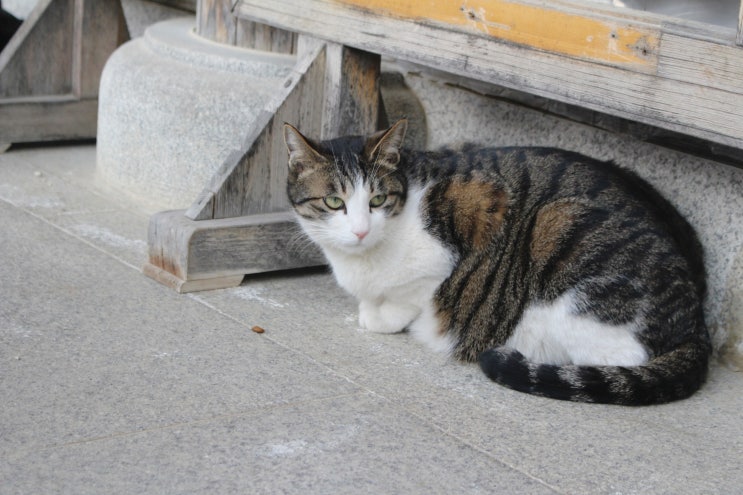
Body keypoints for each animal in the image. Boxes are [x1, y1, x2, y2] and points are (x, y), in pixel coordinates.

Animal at [284, 120, 708, 406]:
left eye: (377, 200)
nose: (360, 231)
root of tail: (696, 322)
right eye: (334, 202)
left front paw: (383, 315)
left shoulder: (473, 213)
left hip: (558, 227)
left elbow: (406, 299)